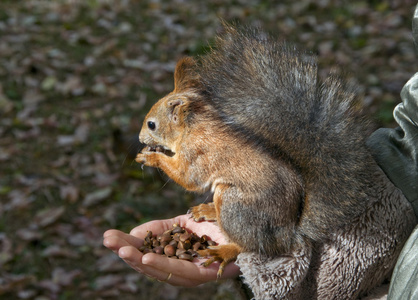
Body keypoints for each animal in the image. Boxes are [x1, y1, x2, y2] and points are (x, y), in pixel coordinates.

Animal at [135, 24, 414, 300]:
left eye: (152, 124)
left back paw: (224, 250)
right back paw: (209, 211)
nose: (139, 138)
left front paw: (150, 157)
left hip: (236, 205)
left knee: (248, 245)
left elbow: (187, 177)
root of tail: (287, 234)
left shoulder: (197, 154)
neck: (192, 127)